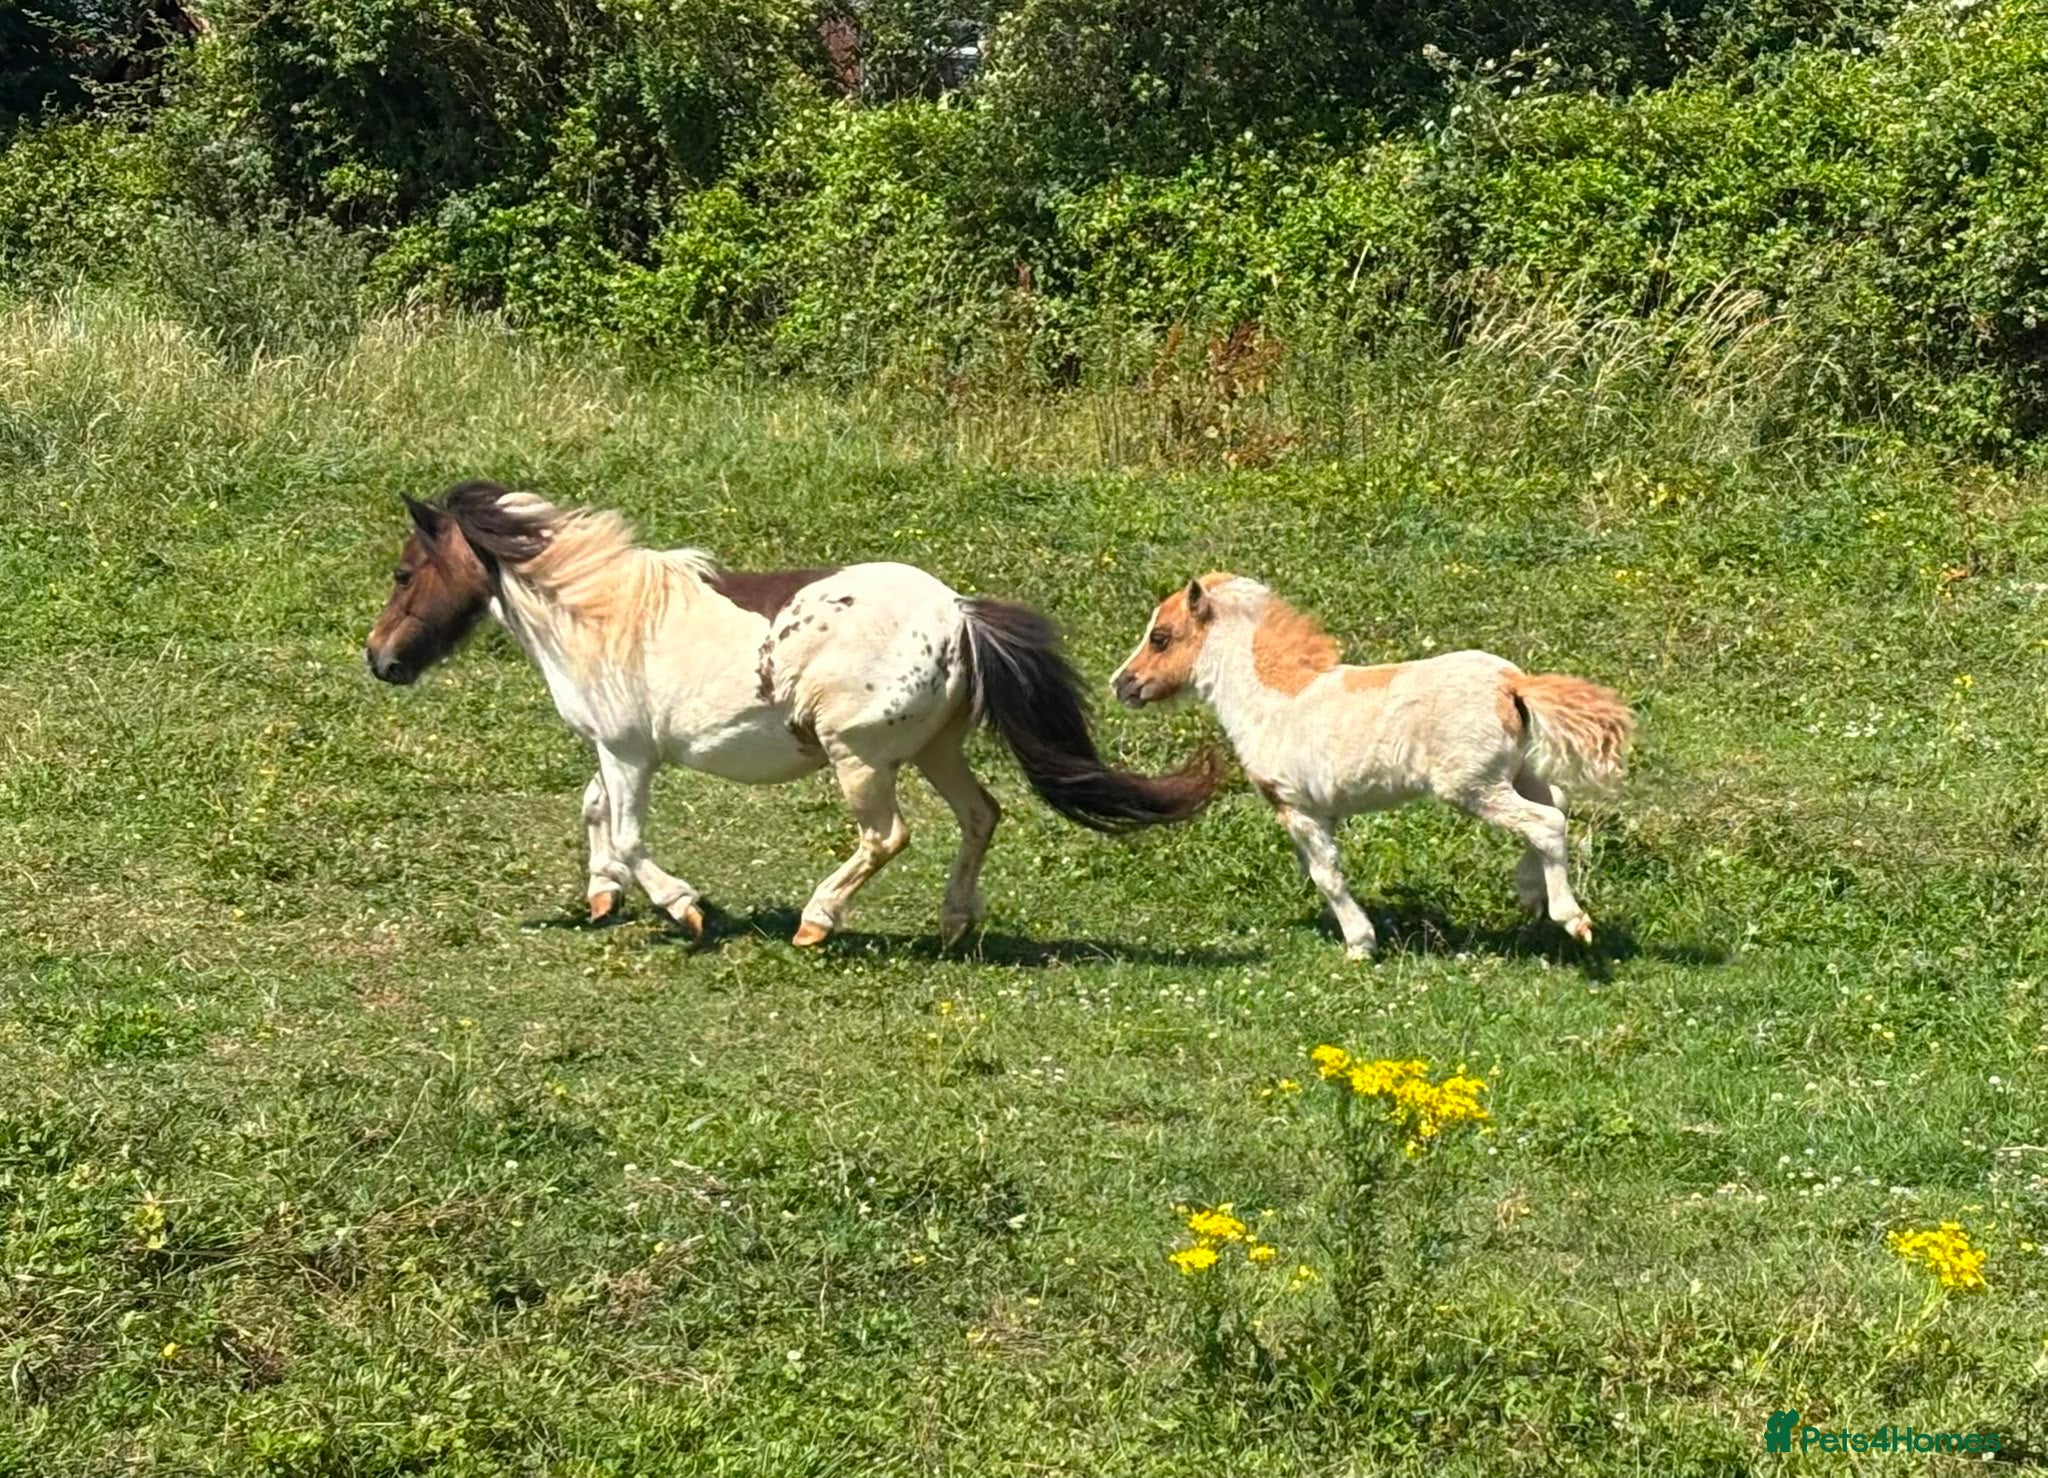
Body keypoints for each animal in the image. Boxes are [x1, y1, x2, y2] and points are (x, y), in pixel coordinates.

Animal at [364, 482, 1217, 948]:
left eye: (404, 572)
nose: (380, 659)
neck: (601, 615)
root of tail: (960, 613)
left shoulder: (629, 751)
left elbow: (631, 834)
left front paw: (683, 910)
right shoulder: (614, 752)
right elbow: (593, 810)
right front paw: (602, 895)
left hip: (859, 759)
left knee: (887, 837)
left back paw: (817, 921)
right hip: (936, 750)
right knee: (982, 815)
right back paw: (953, 921)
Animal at [1110, 574, 1633, 958]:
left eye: (1160, 638)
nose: (1122, 684)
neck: (1272, 701)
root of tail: (1513, 684)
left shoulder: (1297, 808)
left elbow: (1326, 876)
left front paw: (1360, 945)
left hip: (1473, 785)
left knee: (1545, 822)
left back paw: (1572, 918)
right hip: (1517, 774)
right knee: (1556, 807)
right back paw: (1529, 892)